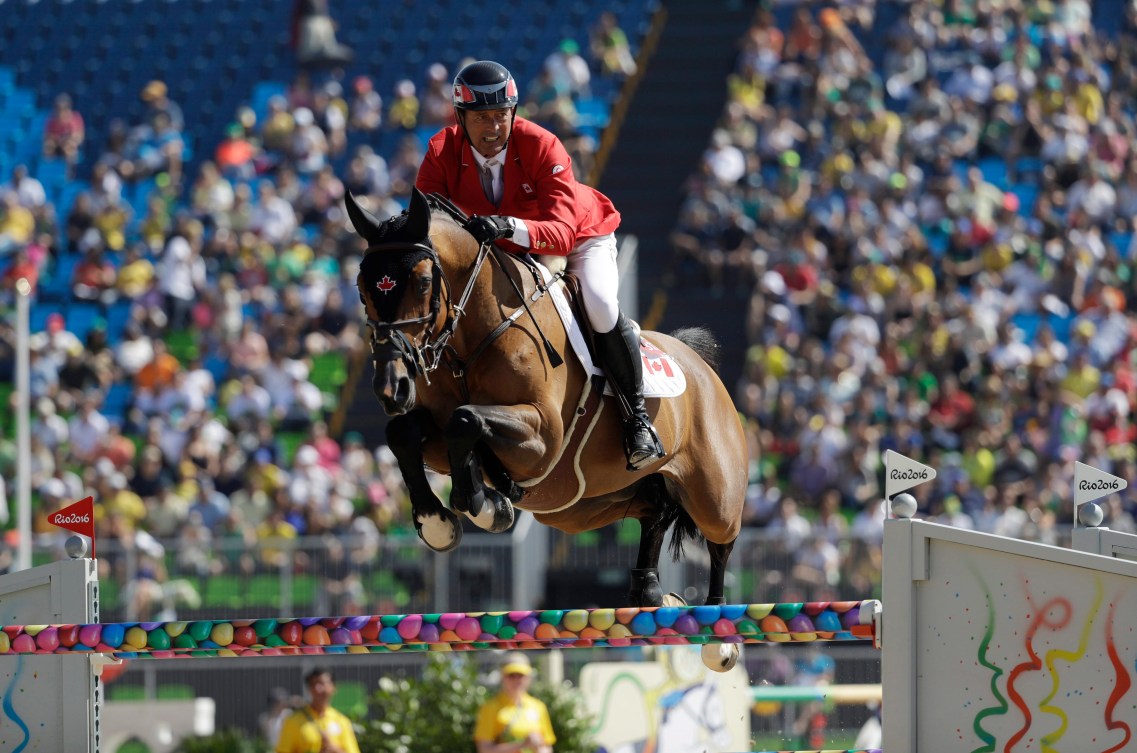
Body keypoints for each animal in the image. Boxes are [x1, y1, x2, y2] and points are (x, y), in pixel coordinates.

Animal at [345, 185, 750, 664]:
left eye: (424, 282)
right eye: (363, 287)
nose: (392, 388)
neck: (471, 335)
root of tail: (699, 363)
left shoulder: (542, 438)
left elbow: (467, 420)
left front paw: (482, 503)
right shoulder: (439, 436)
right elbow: (407, 432)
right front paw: (442, 519)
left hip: (713, 491)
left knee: (721, 541)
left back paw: (719, 636)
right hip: (580, 507)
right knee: (655, 510)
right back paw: (652, 593)